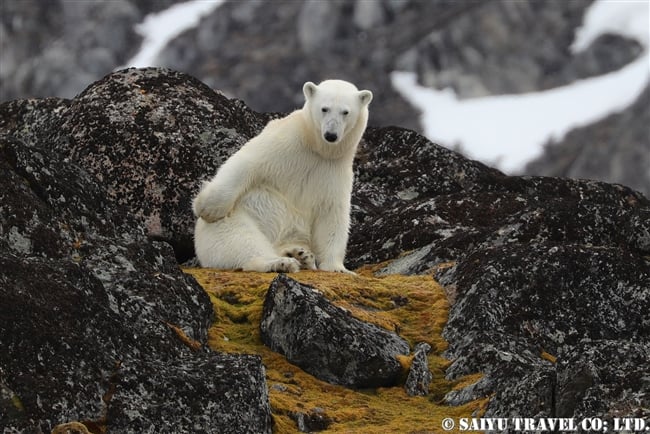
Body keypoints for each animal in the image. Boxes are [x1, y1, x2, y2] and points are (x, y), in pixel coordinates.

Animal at [191, 79, 370, 272]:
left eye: (346, 112)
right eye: (324, 108)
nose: (331, 135)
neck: (316, 147)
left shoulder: (334, 169)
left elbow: (332, 214)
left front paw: (336, 267)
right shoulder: (285, 141)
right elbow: (246, 162)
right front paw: (207, 209)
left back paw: (299, 255)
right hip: (238, 218)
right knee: (241, 239)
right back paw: (280, 263)